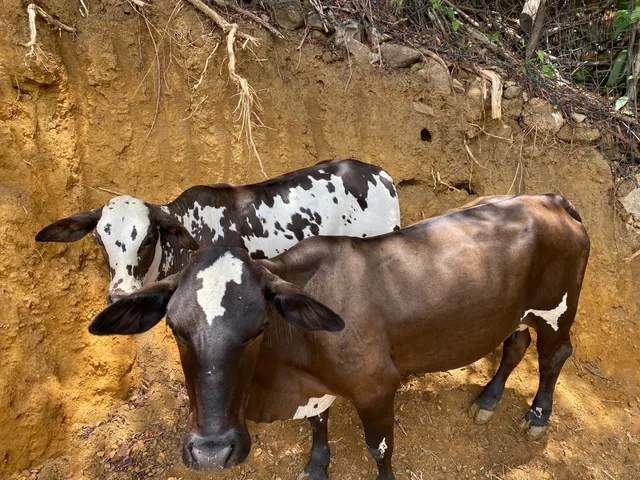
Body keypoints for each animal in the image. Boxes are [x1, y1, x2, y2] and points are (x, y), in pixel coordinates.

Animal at [88, 194, 590, 480]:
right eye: (175, 328)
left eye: (259, 327)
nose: (211, 452)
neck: (287, 374)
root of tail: (551, 198)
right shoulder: (314, 388)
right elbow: (318, 422)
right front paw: (316, 465)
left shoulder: (376, 386)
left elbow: (379, 449)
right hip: (515, 313)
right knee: (515, 344)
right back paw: (488, 398)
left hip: (557, 309)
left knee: (555, 355)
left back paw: (538, 415)